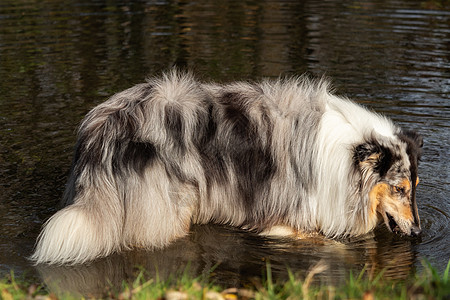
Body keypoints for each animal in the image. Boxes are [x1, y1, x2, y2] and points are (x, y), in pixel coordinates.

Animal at [30, 71, 422, 264]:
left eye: (414, 188)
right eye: (399, 189)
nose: (419, 232)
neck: (346, 155)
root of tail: (103, 128)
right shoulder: (277, 217)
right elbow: (324, 242)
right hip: (168, 206)